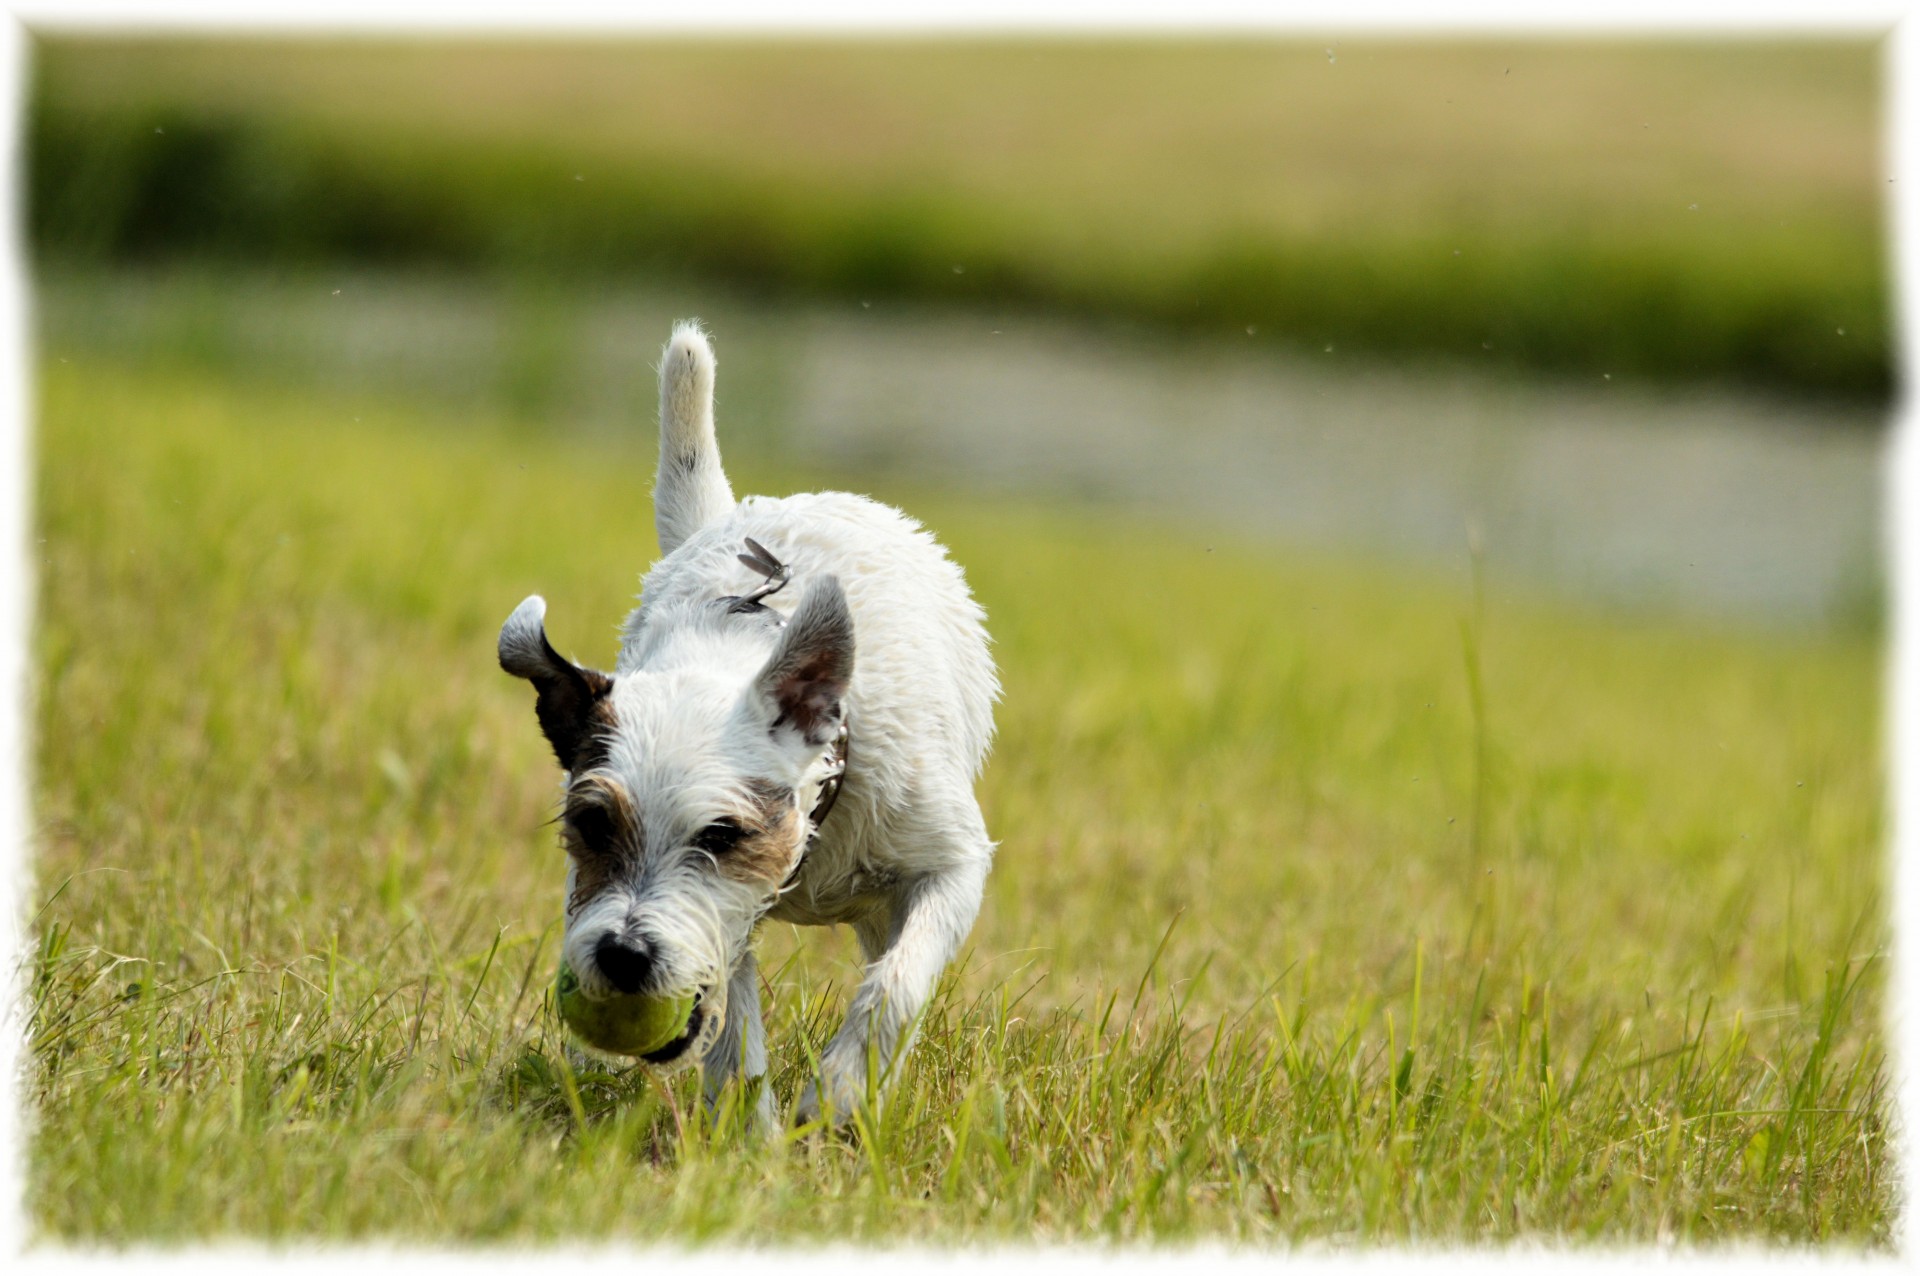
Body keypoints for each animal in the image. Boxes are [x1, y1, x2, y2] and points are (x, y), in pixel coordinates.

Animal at [495, 320, 998, 1128]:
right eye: (592, 825)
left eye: (722, 836)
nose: (623, 956)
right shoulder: (724, 926)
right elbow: (732, 1018)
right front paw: (746, 1126)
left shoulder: (950, 866)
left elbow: (896, 985)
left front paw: (842, 1087)